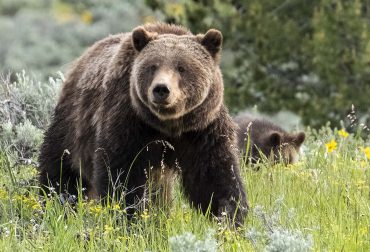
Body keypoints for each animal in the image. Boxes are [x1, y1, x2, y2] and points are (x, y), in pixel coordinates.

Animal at [39, 22, 249, 225]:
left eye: (181, 67)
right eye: (153, 66)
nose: (161, 89)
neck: (168, 125)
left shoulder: (202, 130)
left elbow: (214, 176)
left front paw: (230, 216)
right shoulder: (129, 124)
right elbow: (122, 177)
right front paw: (130, 216)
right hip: (72, 125)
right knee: (61, 171)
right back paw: (55, 205)